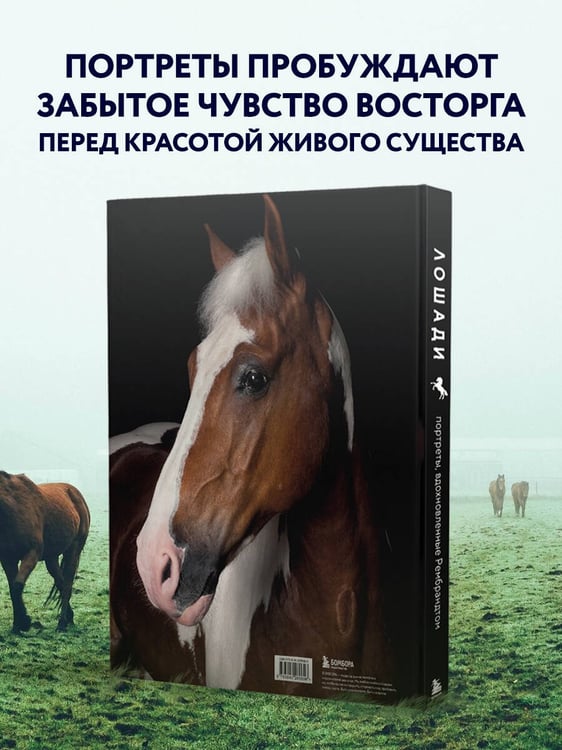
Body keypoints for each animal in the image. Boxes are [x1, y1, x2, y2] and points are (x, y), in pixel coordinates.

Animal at [0, 470, 90, 633]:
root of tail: (76, 494)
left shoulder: (32, 554)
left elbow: (17, 586)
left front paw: (24, 622)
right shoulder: (7, 559)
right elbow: (13, 589)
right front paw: (18, 624)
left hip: (74, 550)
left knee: (67, 585)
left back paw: (62, 623)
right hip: (51, 558)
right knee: (60, 582)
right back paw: (69, 617)